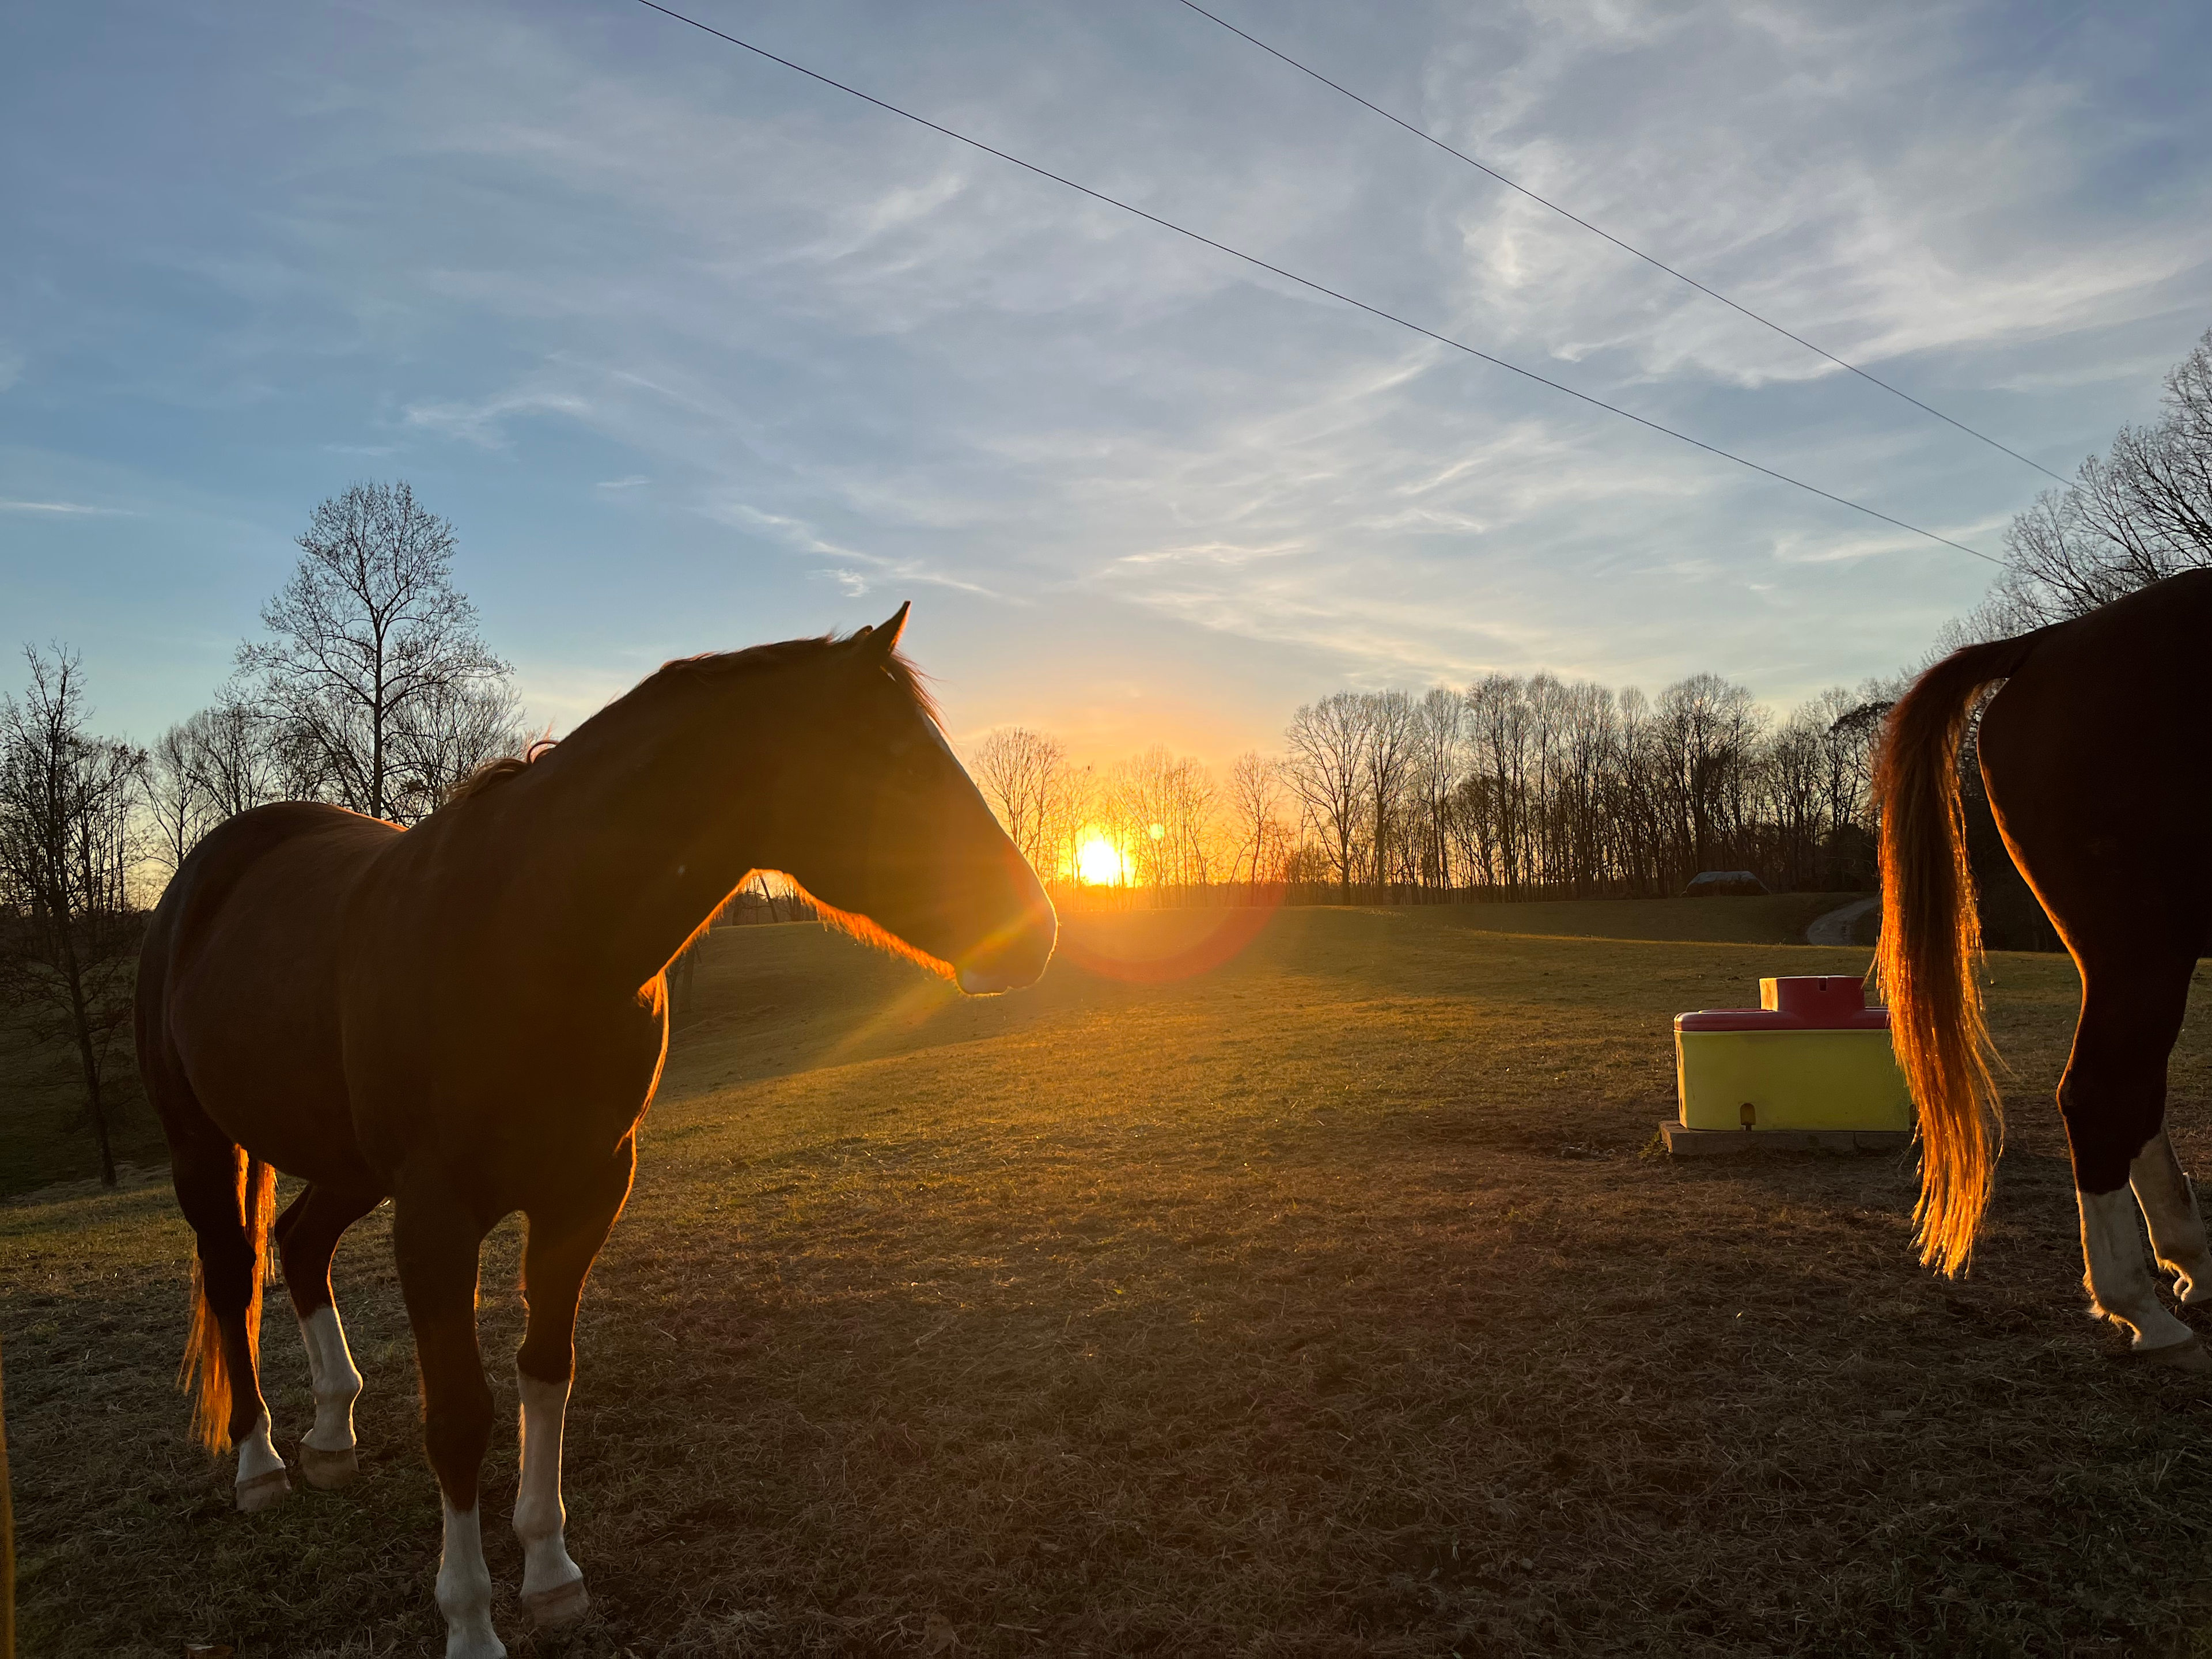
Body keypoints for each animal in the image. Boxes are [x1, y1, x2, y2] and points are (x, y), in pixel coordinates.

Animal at [134, 605, 1057, 1658]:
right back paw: (260, 1465)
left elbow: (547, 1372)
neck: (531, 936)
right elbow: (460, 1415)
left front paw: (550, 1573)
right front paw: (471, 1622)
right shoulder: (438, 1216)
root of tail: (208, 870)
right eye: (895, 764)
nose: (1034, 932)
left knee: (298, 1241)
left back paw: (332, 1435)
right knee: (230, 1278)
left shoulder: (585, 1191)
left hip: (354, 1164)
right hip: (207, 1150)